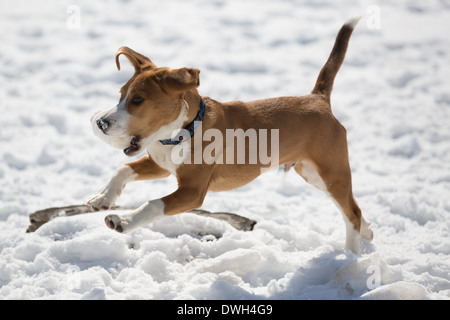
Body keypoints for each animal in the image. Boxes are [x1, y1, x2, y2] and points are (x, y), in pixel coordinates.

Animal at [87, 17, 372, 254]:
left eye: (137, 99)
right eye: (120, 95)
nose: (100, 122)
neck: (184, 132)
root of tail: (318, 98)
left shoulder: (193, 191)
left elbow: (153, 204)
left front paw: (123, 220)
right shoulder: (161, 164)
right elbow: (123, 168)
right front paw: (102, 197)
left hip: (331, 173)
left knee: (352, 213)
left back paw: (349, 257)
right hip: (310, 172)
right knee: (354, 207)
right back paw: (367, 233)